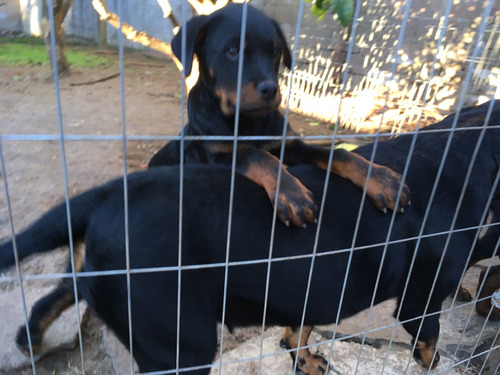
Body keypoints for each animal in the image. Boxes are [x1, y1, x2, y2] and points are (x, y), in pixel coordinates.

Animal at [1, 100, 498, 375]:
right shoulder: (420, 301)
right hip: (181, 346)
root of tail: (109, 192)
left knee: (65, 288)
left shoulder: (315, 286)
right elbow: (430, 346)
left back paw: (31, 333)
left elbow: (298, 329)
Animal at [149, 2, 410, 228]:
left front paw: (381, 179)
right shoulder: (219, 155)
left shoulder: (290, 145)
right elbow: (259, 156)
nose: (271, 90)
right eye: (233, 51)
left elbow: (338, 154)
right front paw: (292, 193)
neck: (248, 121)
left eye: (275, 51)